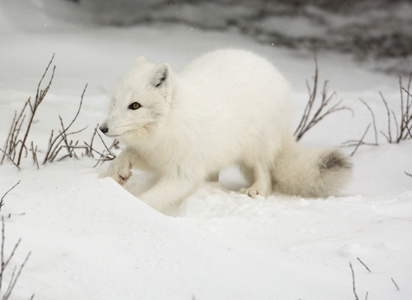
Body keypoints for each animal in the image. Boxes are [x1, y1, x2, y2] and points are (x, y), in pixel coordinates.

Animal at [100, 49, 350, 212]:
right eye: (115, 102)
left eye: (135, 106)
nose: (102, 128)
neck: (167, 127)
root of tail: (266, 65)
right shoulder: (155, 155)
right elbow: (127, 154)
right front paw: (117, 171)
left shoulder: (183, 173)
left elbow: (148, 199)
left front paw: (126, 206)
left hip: (257, 146)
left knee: (265, 172)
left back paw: (256, 190)